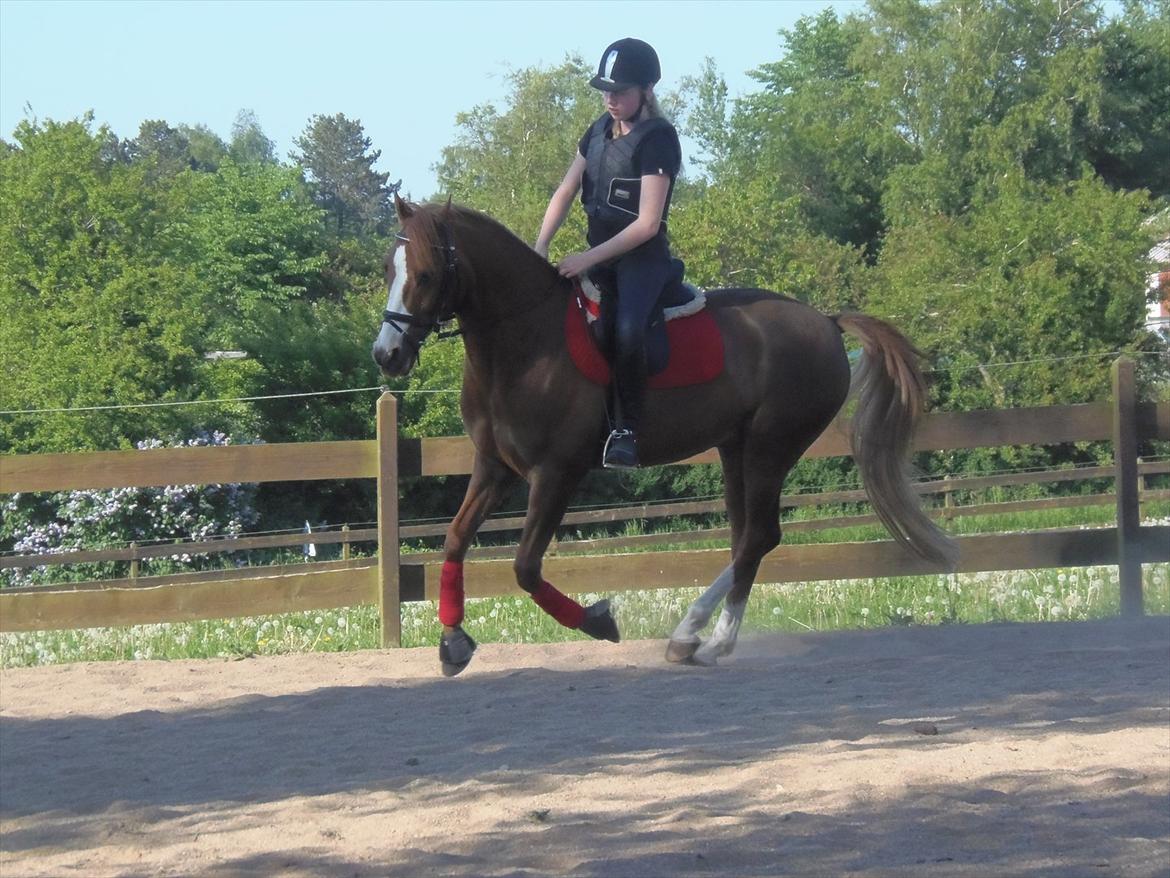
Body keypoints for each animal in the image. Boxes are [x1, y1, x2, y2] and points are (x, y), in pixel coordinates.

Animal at [373, 195, 958, 676]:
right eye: (388, 269)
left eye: (425, 273)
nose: (387, 355)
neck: (525, 341)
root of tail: (827, 323)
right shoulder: (495, 467)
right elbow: (455, 539)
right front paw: (453, 641)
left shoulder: (557, 473)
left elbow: (525, 567)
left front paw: (598, 621)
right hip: (736, 448)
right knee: (748, 537)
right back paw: (701, 639)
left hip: (772, 446)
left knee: (758, 536)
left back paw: (700, 635)